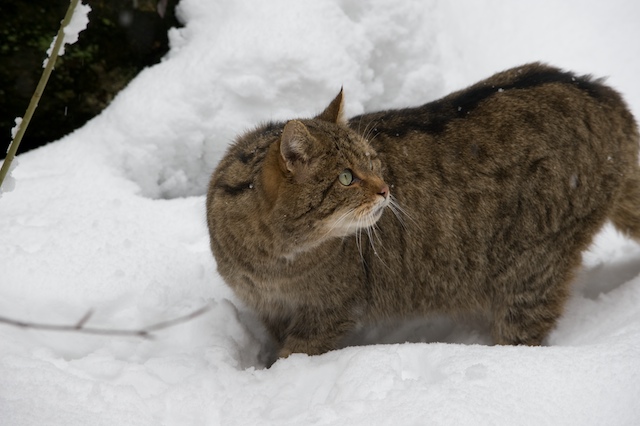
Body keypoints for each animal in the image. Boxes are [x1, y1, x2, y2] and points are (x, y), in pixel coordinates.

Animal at [206, 63, 640, 362]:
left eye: (373, 162)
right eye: (346, 177)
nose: (386, 189)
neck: (274, 258)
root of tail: (605, 96)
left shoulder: (329, 312)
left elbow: (295, 353)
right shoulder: (272, 310)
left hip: (530, 272)